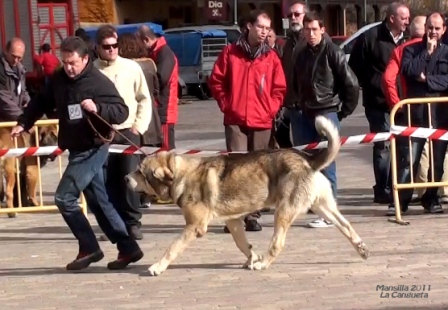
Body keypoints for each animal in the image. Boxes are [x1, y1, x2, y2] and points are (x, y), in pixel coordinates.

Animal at [124, 116, 370, 276]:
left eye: (140, 171)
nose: (125, 178)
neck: (179, 174)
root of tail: (308, 159)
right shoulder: (233, 221)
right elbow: (243, 244)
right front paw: (252, 258)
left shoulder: (194, 227)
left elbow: (172, 248)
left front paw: (157, 267)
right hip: (324, 207)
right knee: (347, 226)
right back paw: (362, 249)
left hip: (284, 211)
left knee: (278, 243)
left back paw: (264, 264)